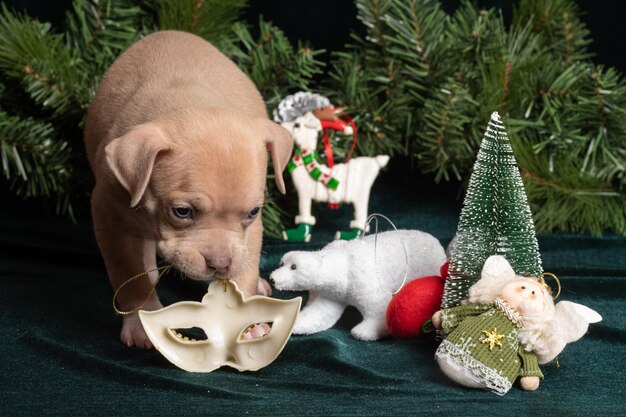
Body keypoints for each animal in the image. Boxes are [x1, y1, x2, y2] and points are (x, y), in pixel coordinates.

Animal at [84, 30, 294, 348]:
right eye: (182, 212)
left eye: (253, 212)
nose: (219, 264)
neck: (189, 102)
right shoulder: (110, 217)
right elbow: (130, 274)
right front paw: (142, 321)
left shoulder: (250, 230)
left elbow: (246, 263)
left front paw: (246, 319)